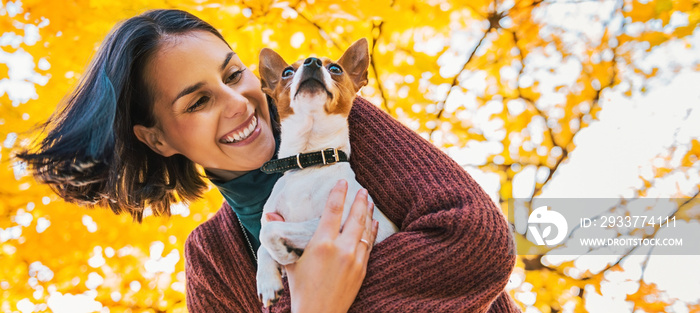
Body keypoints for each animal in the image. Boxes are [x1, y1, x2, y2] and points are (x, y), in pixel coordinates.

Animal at [258, 38, 400, 304]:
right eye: (286, 72)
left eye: (335, 68)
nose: (311, 61)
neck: (308, 162)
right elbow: (263, 239)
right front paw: (267, 280)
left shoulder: (337, 223)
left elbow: (269, 232)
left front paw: (285, 256)